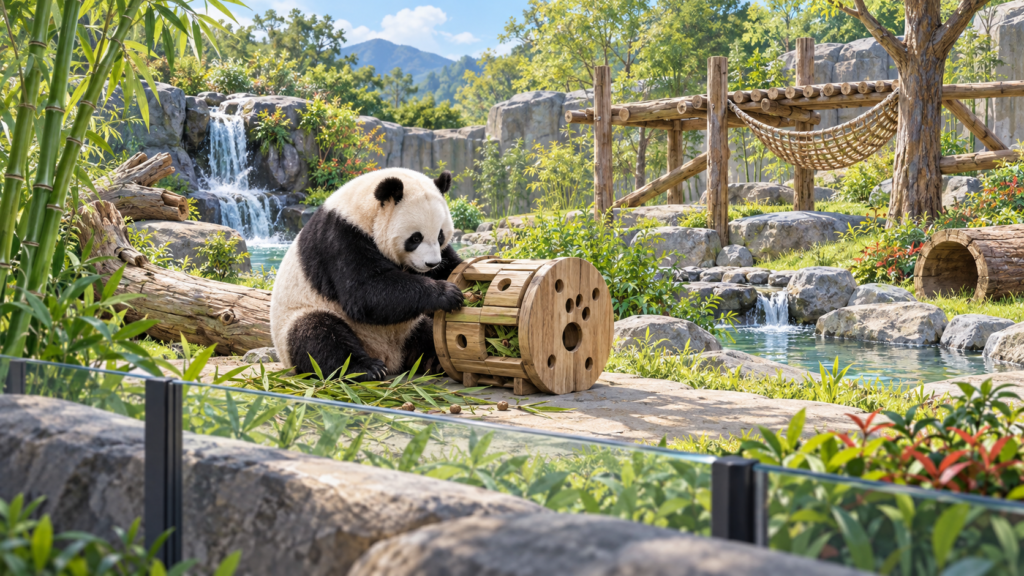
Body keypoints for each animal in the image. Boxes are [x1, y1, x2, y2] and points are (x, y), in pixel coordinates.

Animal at [270, 168, 465, 380]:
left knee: (428, 335)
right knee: (318, 337)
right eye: (415, 238)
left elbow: (450, 265)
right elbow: (365, 293)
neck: (361, 212)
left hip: (410, 327)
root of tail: (391, 357)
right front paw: (446, 293)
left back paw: (435, 361)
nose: (431, 263)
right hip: (296, 322)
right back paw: (366, 368)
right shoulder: (340, 239)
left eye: (440, 235)